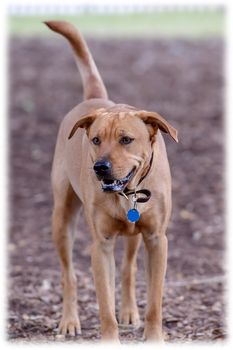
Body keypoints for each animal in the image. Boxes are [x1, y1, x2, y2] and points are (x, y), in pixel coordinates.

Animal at [45, 21, 178, 342]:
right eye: (95, 140)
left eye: (126, 140)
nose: (100, 167)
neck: (127, 195)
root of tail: (94, 98)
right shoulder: (101, 245)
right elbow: (104, 304)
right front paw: (109, 337)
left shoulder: (156, 240)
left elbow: (154, 300)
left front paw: (153, 336)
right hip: (62, 219)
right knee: (68, 275)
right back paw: (69, 320)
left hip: (134, 236)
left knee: (128, 269)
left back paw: (129, 311)